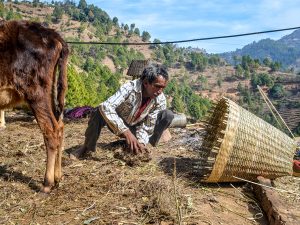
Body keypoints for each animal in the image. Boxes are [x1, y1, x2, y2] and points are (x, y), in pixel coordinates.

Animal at [0, 20, 69, 192]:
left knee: (51, 130)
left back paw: (47, 183)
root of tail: (50, 33)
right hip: (49, 92)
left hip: (36, 93)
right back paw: (57, 178)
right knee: (59, 126)